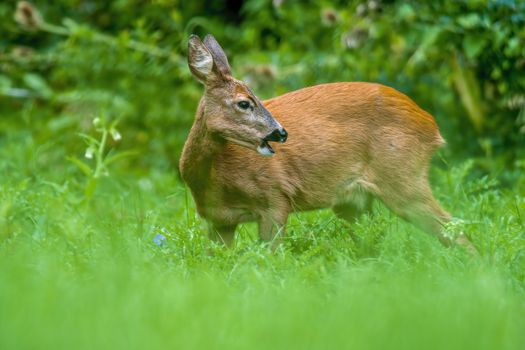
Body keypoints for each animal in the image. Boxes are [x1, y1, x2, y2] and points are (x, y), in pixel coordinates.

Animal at [178, 33, 472, 252]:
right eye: (244, 103)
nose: (281, 133)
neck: (214, 180)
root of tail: (431, 125)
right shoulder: (218, 220)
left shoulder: (275, 197)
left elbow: (270, 255)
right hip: (353, 203)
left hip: (403, 180)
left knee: (455, 230)